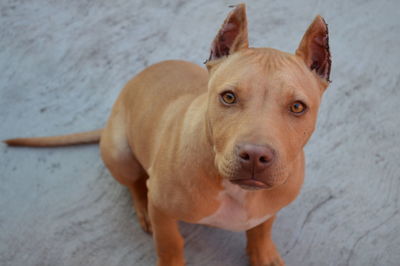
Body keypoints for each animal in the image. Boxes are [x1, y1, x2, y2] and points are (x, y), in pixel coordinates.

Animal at [3, 4, 332, 266]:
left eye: (297, 107)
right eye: (228, 97)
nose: (254, 156)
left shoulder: (269, 206)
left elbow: (261, 229)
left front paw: (263, 254)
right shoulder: (163, 207)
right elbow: (170, 242)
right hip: (120, 152)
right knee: (136, 184)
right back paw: (142, 208)